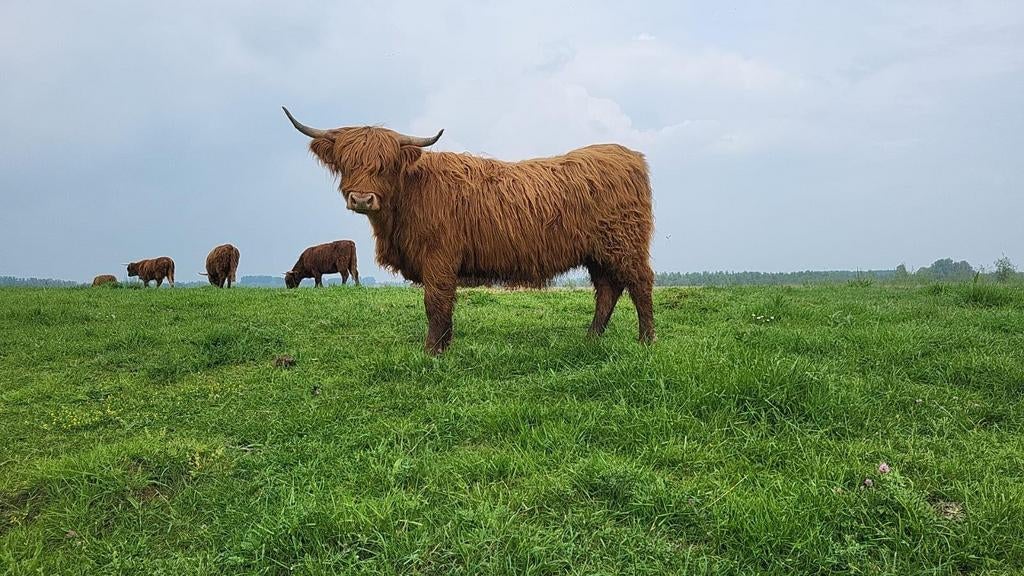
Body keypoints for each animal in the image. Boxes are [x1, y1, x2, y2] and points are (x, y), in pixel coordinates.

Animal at [283, 107, 655, 354]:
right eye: (347, 163)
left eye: (385, 165)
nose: (362, 198)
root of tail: (627, 154)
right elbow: (445, 304)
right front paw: (444, 346)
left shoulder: (438, 258)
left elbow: (435, 302)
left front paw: (431, 352)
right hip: (598, 253)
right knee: (607, 290)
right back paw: (591, 338)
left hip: (624, 244)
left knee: (639, 284)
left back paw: (646, 341)